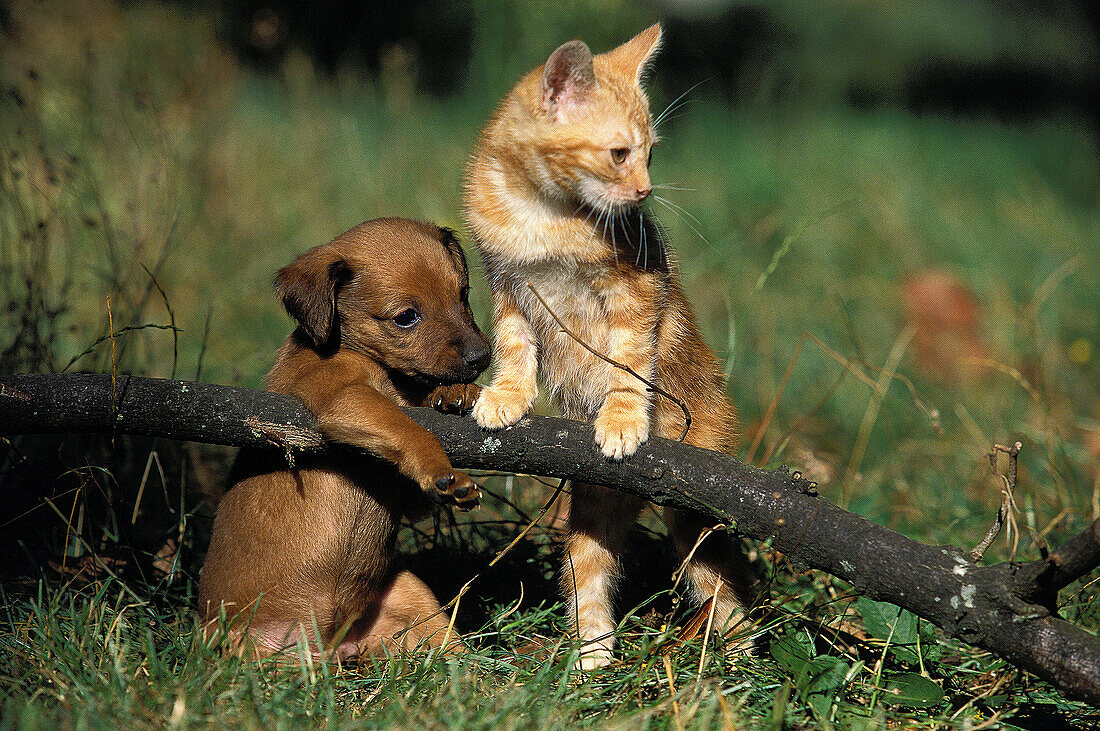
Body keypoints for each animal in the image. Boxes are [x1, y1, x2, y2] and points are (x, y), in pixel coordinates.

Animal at [199, 216, 490, 659]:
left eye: (463, 296)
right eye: (406, 317)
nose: (482, 358)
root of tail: (332, 648)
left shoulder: (408, 496)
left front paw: (455, 392)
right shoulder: (344, 398)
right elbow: (412, 430)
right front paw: (445, 470)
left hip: (411, 597)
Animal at [464, 24, 756, 668]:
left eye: (652, 154)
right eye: (621, 153)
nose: (645, 191)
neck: (543, 216)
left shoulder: (635, 292)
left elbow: (628, 363)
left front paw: (621, 417)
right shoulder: (509, 289)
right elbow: (514, 349)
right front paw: (506, 395)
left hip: (698, 502)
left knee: (722, 581)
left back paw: (740, 658)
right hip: (595, 505)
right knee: (590, 568)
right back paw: (595, 658)